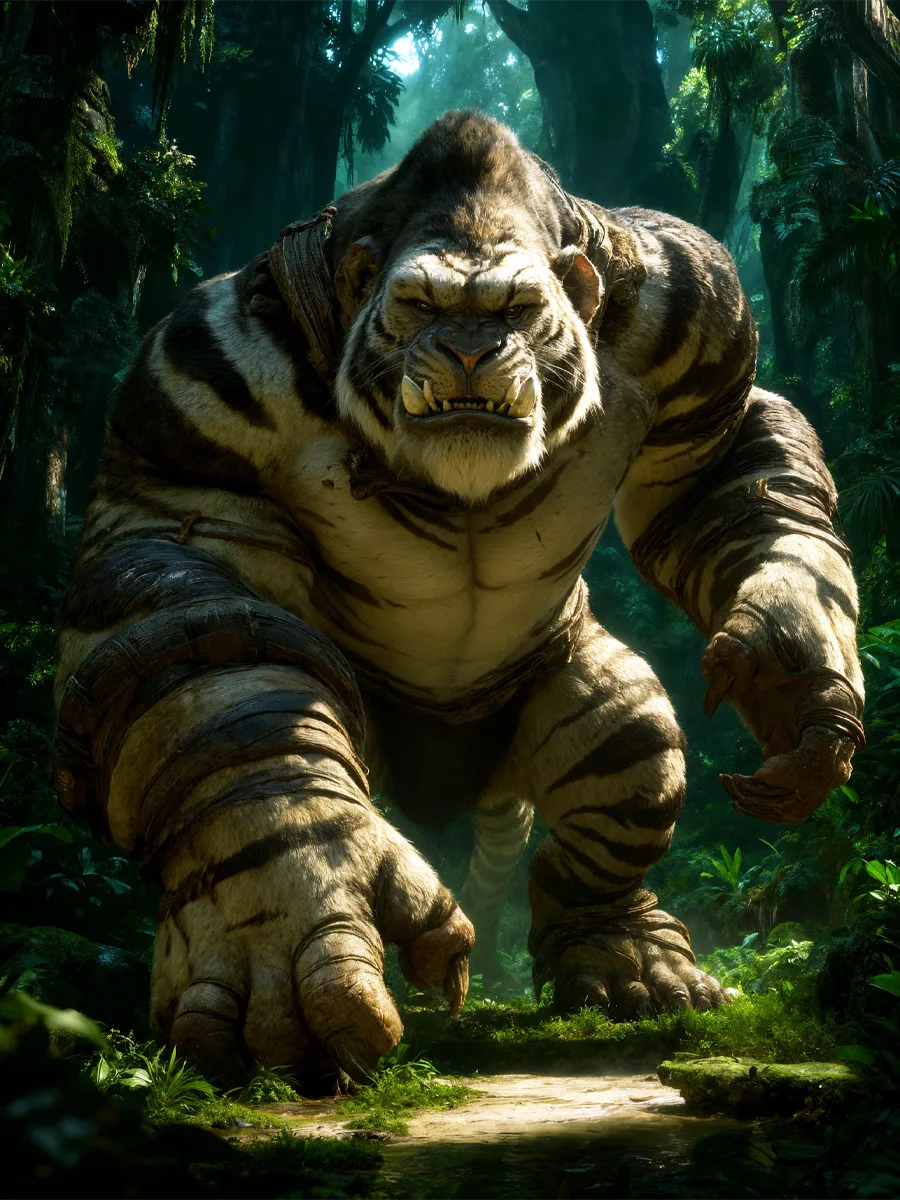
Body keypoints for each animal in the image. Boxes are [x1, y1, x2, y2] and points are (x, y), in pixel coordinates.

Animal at [52, 110, 865, 1089]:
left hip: (585, 715)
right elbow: (207, 635)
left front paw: (790, 666)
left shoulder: (700, 316)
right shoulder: (191, 393)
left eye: (514, 309)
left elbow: (724, 474)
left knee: (627, 752)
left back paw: (633, 966)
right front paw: (283, 937)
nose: (470, 347)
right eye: (420, 306)